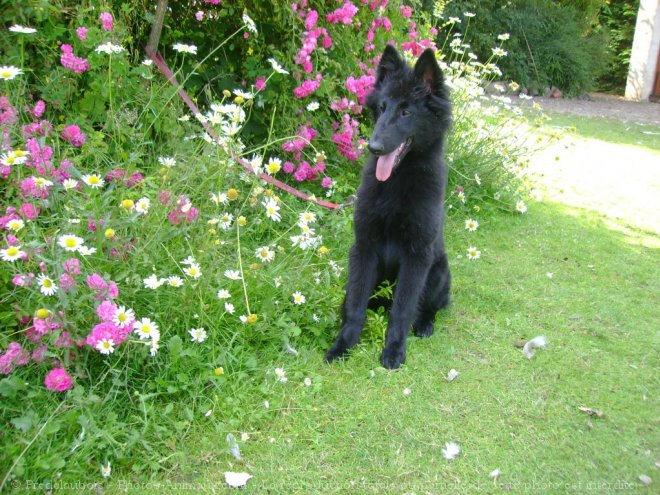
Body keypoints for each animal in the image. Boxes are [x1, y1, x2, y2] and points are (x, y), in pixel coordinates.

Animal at [326, 45, 452, 368]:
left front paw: (394, 349)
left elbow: (403, 309)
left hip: (438, 274)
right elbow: (355, 305)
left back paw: (425, 325)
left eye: (406, 112)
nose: (374, 147)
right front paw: (343, 344)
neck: (397, 181)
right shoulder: (364, 247)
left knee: (429, 307)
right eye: (382, 108)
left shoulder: (416, 257)